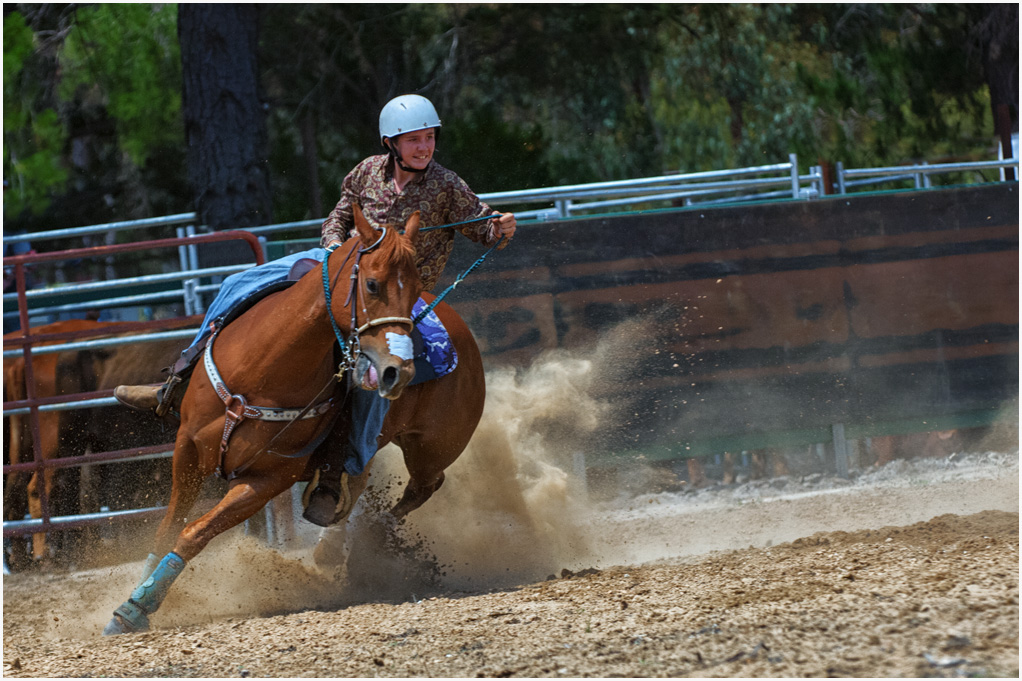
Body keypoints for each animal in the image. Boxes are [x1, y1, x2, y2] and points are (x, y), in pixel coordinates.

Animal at [102, 205, 482, 629]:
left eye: (415, 288)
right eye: (371, 285)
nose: (398, 371)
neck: (262, 370)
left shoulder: (266, 480)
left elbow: (194, 533)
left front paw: (135, 608)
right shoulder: (187, 448)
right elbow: (168, 527)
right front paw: (137, 592)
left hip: (432, 449)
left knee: (422, 486)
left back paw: (369, 539)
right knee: (358, 482)